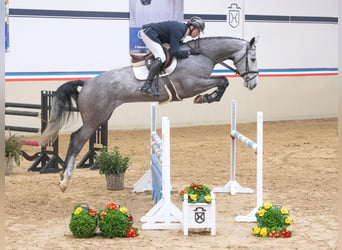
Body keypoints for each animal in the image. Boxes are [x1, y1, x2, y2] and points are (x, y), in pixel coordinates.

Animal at [40, 36, 258, 191]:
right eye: (253, 58)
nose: (253, 84)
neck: (200, 55)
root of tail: (86, 83)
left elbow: (223, 81)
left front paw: (208, 98)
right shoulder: (192, 85)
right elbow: (223, 80)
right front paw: (206, 98)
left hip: (102, 116)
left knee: (76, 138)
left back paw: (62, 176)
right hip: (95, 118)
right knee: (77, 139)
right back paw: (65, 181)